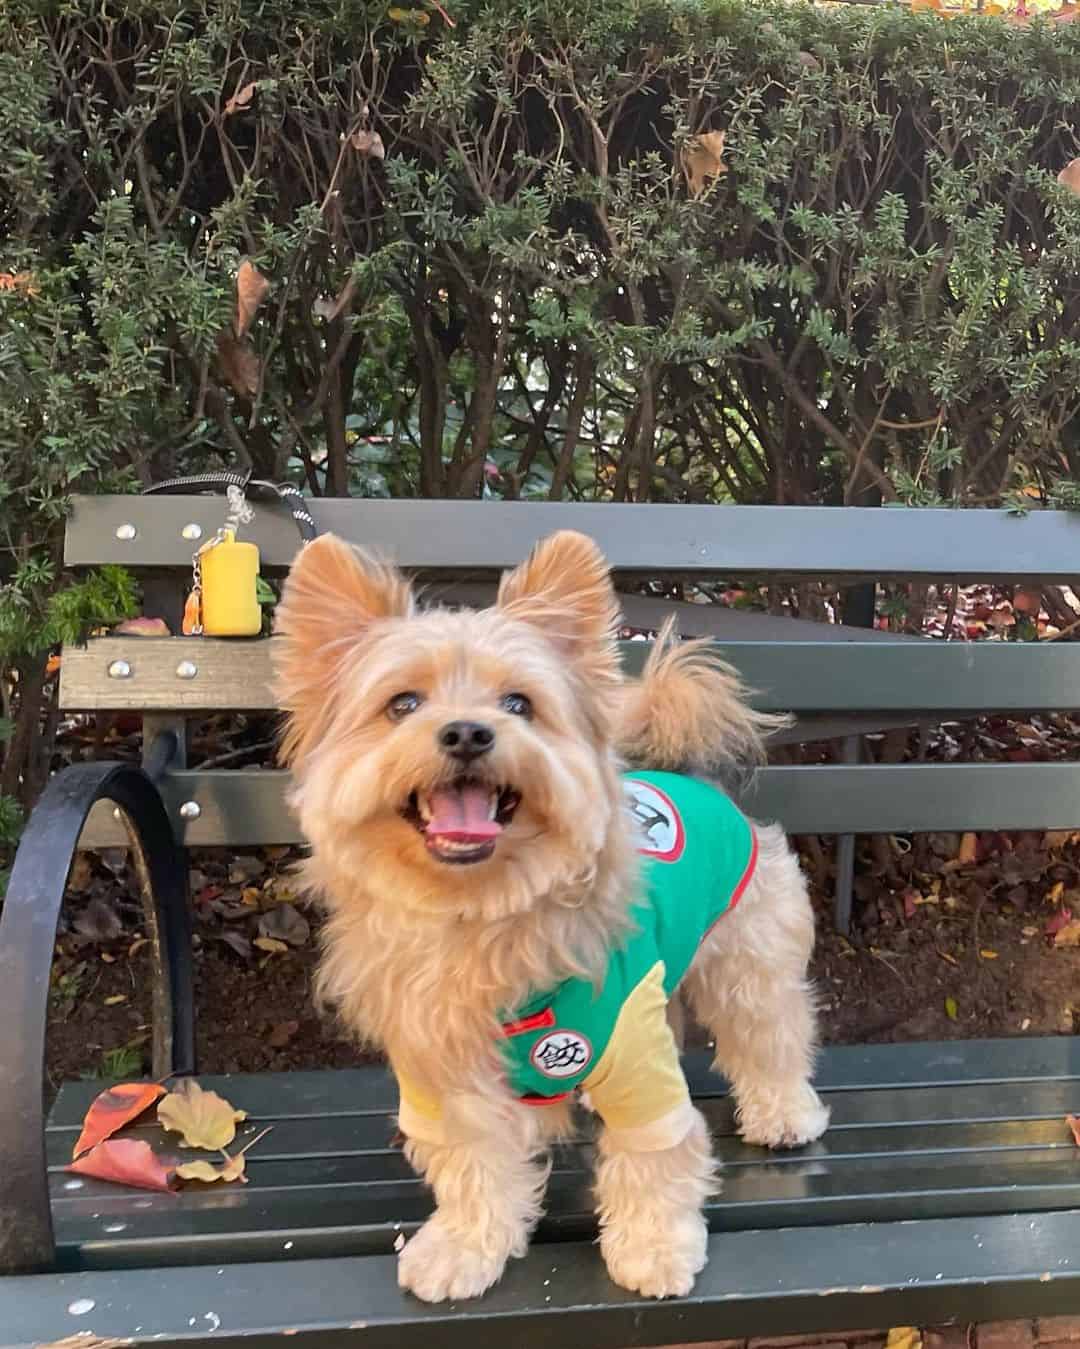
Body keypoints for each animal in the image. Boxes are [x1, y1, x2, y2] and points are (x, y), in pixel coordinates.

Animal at [273, 528, 830, 1305]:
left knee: (771, 1033)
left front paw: (654, 1246)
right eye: (402, 703)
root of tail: (687, 773)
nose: (468, 732)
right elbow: (473, 1165)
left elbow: (657, 1157)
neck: (482, 914)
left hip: (747, 965)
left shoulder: (639, 1056)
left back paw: (784, 1112)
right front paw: (465, 1245)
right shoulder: (442, 1073)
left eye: (518, 702)